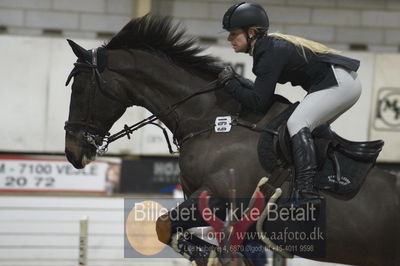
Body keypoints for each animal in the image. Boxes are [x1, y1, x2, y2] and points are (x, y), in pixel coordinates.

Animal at [65, 15, 400, 266]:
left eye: (79, 88)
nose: (72, 153)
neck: (211, 121)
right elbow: (173, 230)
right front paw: (208, 253)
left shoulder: (219, 196)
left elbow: (164, 225)